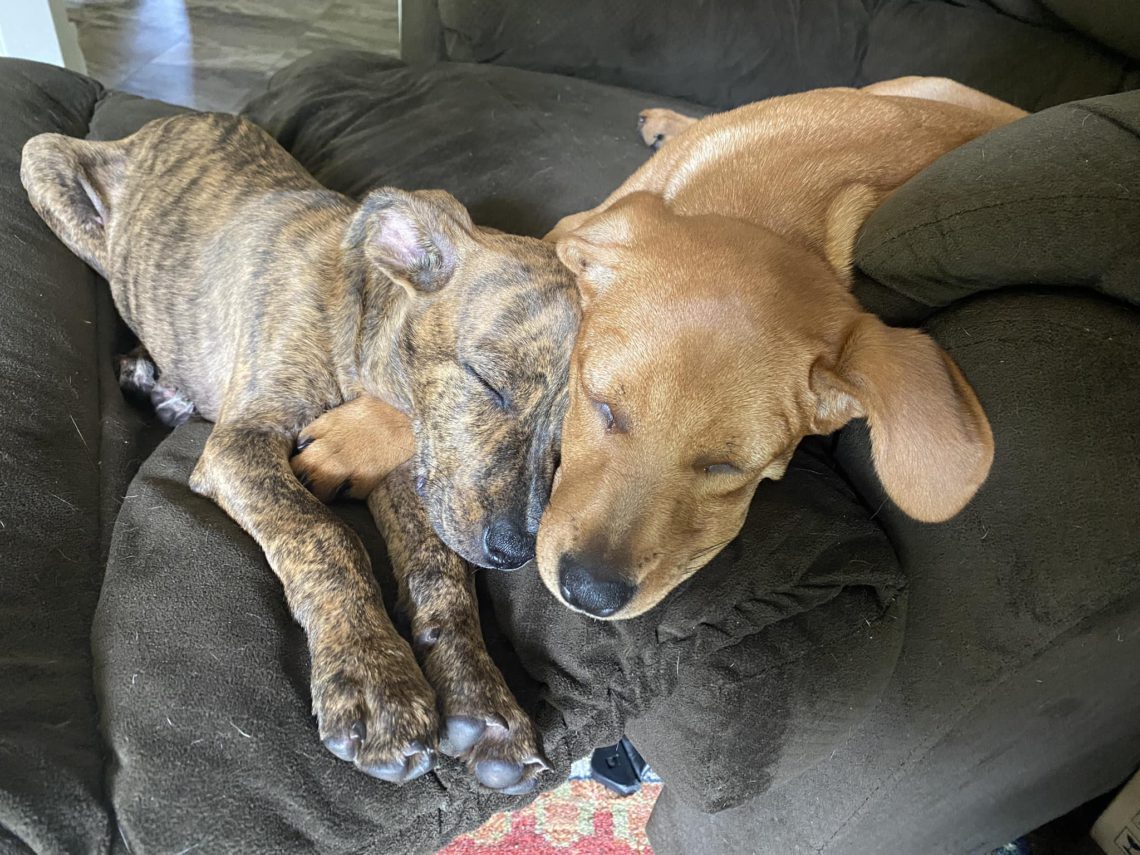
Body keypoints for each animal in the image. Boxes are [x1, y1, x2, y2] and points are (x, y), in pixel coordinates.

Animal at [24, 114, 579, 798]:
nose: (514, 552)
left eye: (568, 440)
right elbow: (325, 535)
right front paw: (373, 681)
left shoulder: (412, 475)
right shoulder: (241, 443)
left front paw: (483, 703)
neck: (357, 324)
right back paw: (155, 380)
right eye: (488, 382)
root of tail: (161, 122)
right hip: (45, 165)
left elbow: (441, 574)